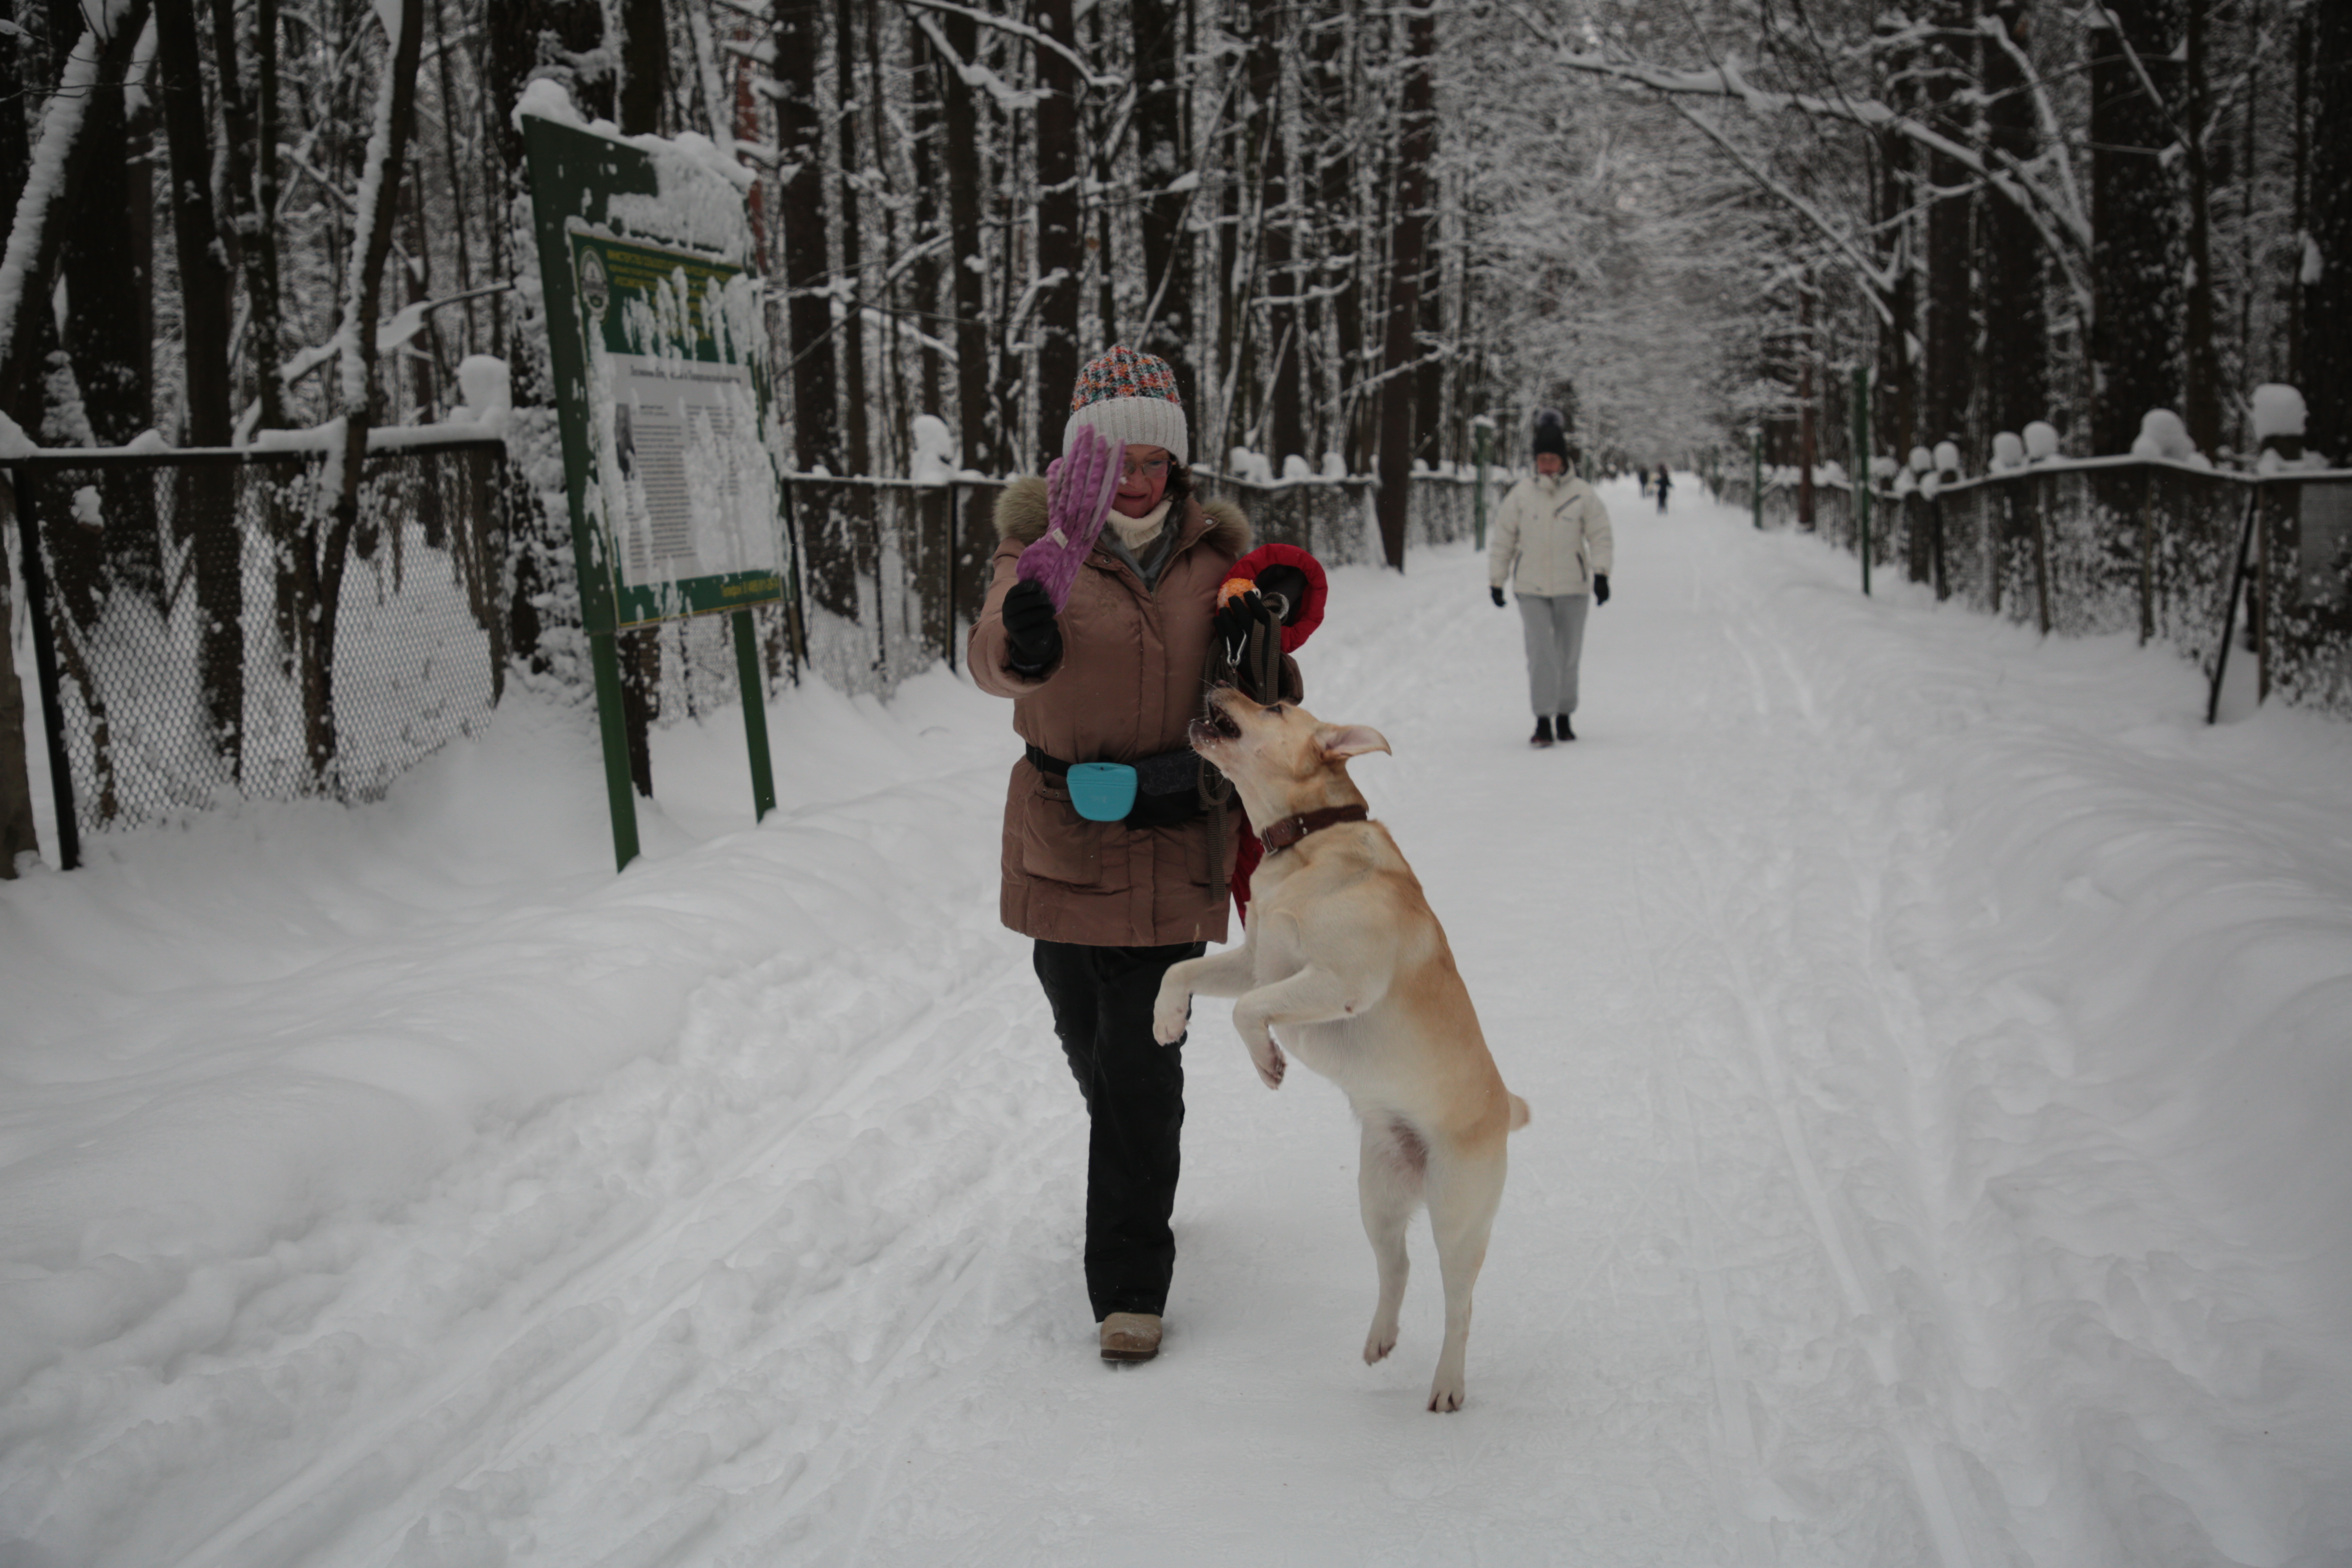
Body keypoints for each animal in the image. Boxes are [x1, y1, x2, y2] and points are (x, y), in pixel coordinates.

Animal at [1152, 691, 1524, 1420]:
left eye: (1273, 704)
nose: (1218, 684)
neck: (1303, 844)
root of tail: (1507, 1110)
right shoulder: (1256, 962)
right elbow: (1180, 972)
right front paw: (1166, 1020)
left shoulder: (1336, 981)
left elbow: (1247, 1011)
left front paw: (1268, 1062)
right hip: (1376, 1196)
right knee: (1396, 1268)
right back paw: (1380, 1339)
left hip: (1458, 1218)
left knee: (1460, 1305)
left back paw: (1447, 1385)